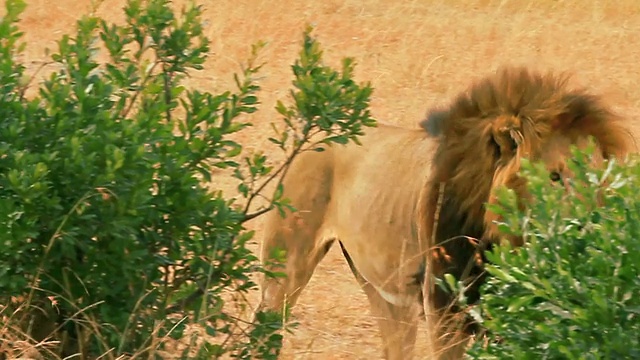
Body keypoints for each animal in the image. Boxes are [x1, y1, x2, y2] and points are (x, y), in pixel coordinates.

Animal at [254, 66, 632, 358]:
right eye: (555, 176)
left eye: (601, 177)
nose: (592, 224)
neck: (498, 234)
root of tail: (318, 133)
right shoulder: (445, 306)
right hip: (286, 265)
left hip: (385, 291)